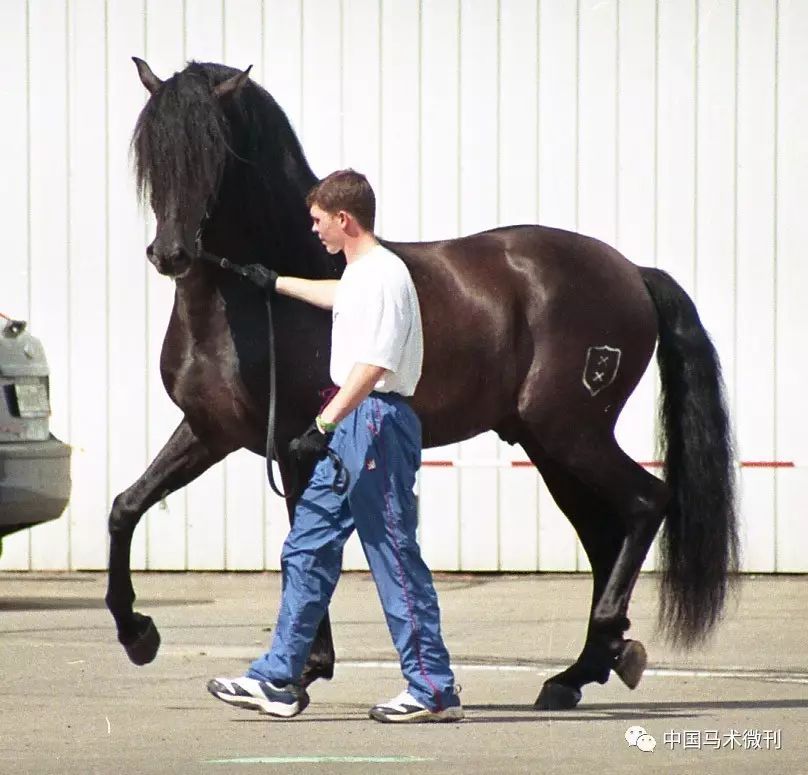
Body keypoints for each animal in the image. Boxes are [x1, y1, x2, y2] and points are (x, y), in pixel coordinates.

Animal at [107, 60, 740, 708]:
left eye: (215, 154)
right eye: (154, 152)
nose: (171, 254)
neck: (256, 298)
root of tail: (633, 272)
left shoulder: (293, 444)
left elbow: (303, 552)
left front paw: (299, 673)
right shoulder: (210, 432)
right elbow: (125, 506)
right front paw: (138, 634)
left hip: (573, 435)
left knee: (646, 502)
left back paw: (601, 650)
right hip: (552, 447)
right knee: (604, 534)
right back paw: (581, 671)